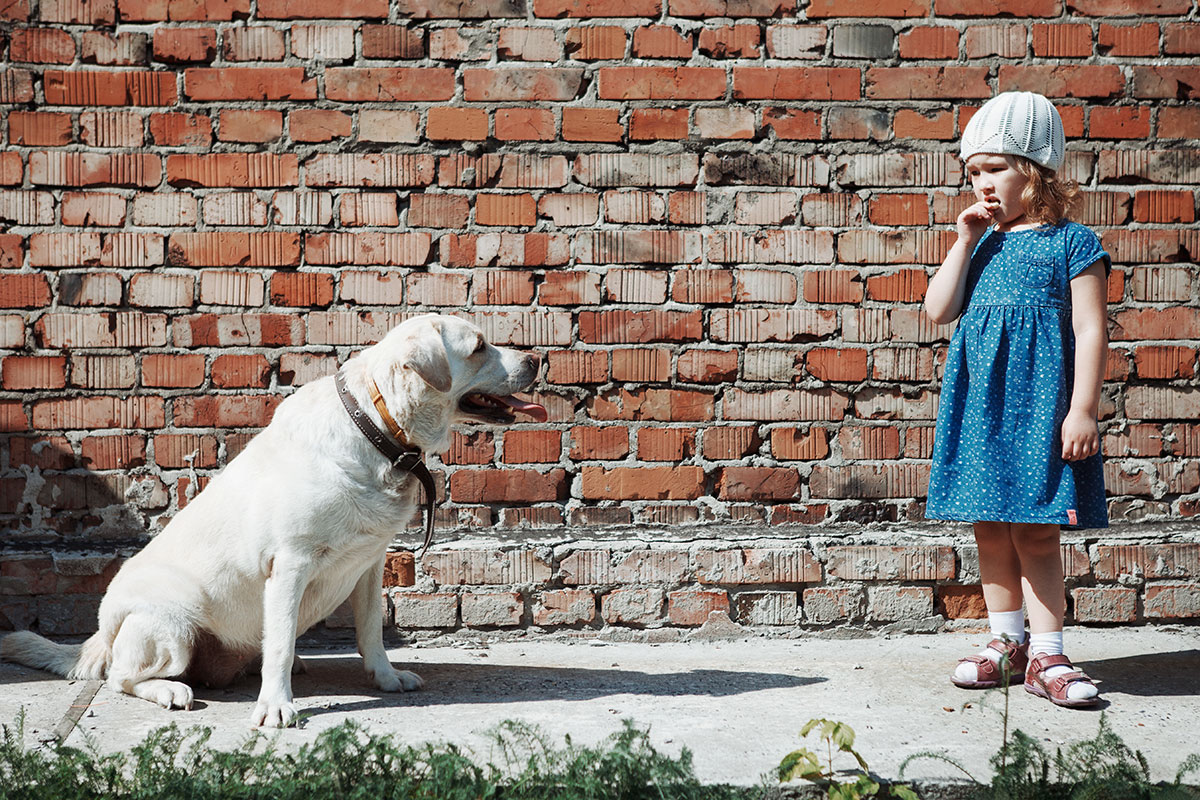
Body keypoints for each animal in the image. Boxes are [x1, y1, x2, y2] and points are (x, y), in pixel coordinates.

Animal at [2, 316, 547, 729]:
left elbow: (370, 631)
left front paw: (387, 679)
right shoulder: (290, 564)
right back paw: (171, 691)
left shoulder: (370, 565)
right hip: (172, 628)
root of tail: (101, 634)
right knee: (120, 676)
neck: (378, 428)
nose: (536, 360)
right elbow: (281, 643)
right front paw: (276, 707)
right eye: (479, 347)